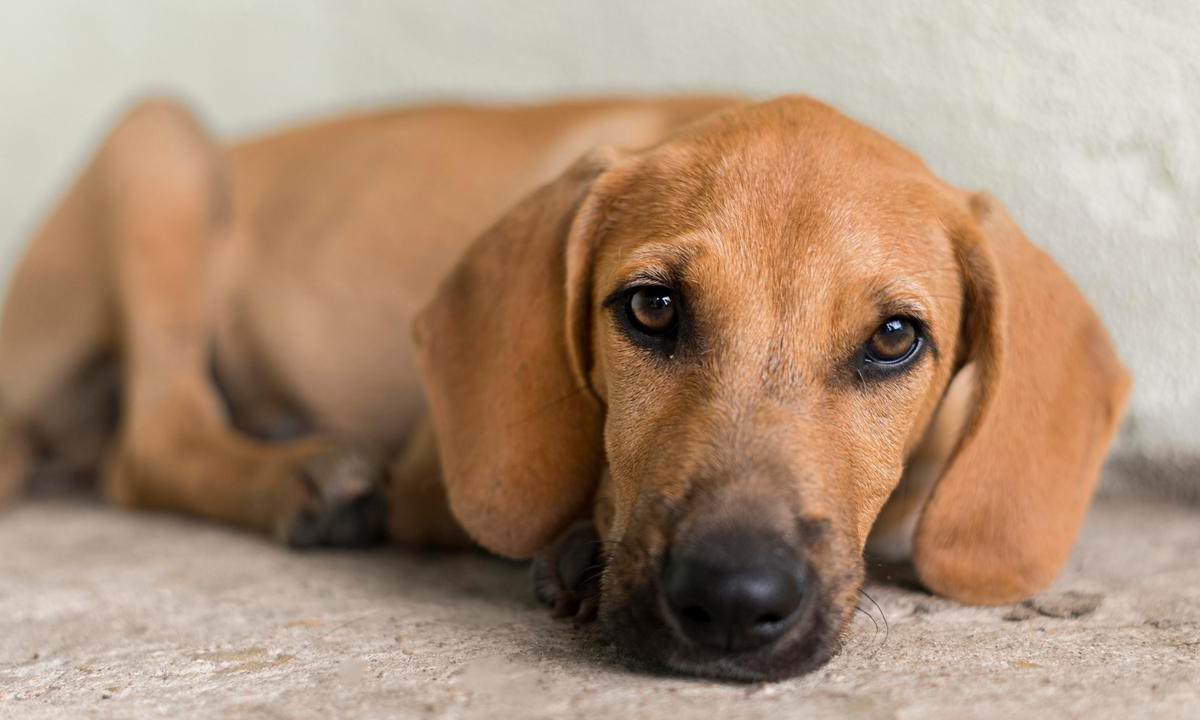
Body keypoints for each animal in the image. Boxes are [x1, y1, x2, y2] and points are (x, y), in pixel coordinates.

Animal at [0, 95, 1128, 681]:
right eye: (653, 309)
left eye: (895, 338)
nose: (732, 603)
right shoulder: (433, 467)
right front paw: (579, 547)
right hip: (160, 147)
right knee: (150, 438)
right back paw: (303, 477)